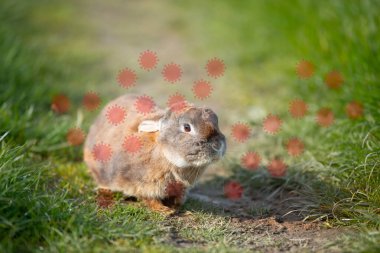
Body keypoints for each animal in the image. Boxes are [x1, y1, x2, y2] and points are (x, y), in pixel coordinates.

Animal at [83, 94, 226, 214]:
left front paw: (174, 206)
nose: (218, 145)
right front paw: (165, 211)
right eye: (187, 127)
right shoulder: (141, 184)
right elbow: (149, 199)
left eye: (217, 122)